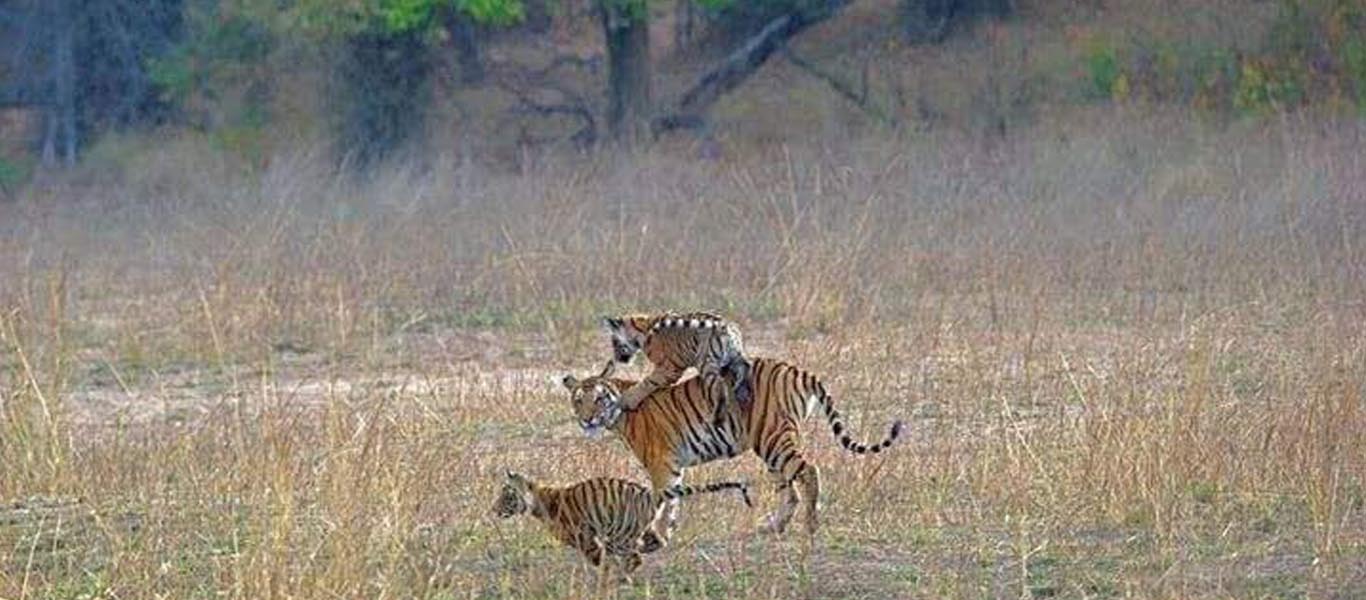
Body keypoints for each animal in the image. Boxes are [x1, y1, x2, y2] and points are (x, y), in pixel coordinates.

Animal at [492, 470, 752, 579]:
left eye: (507, 496)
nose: (493, 509)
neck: (538, 500)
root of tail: (649, 493)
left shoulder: (584, 537)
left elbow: (598, 558)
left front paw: (604, 574)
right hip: (637, 529)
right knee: (655, 542)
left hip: (619, 534)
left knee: (635, 557)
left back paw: (621, 576)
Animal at [560, 357, 902, 545]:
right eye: (578, 400)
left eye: (599, 399)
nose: (586, 419)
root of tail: (796, 370)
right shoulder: (672, 465)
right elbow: (672, 500)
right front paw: (665, 533)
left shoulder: (660, 463)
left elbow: (661, 499)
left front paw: (654, 535)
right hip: (771, 447)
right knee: (788, 489)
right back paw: (774, 526)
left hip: (773, 438)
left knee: (808, 471)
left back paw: (810, 525)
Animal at [601, 310, 752, 427]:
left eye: (614, 342)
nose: (616, 358)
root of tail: (727, 326)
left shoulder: (669, 369)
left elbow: (647, 383)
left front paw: (626, 401)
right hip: (736, 357)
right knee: (746, 367)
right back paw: (742, 392)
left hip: (705, 363)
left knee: (719, 387)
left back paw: (718, 416)